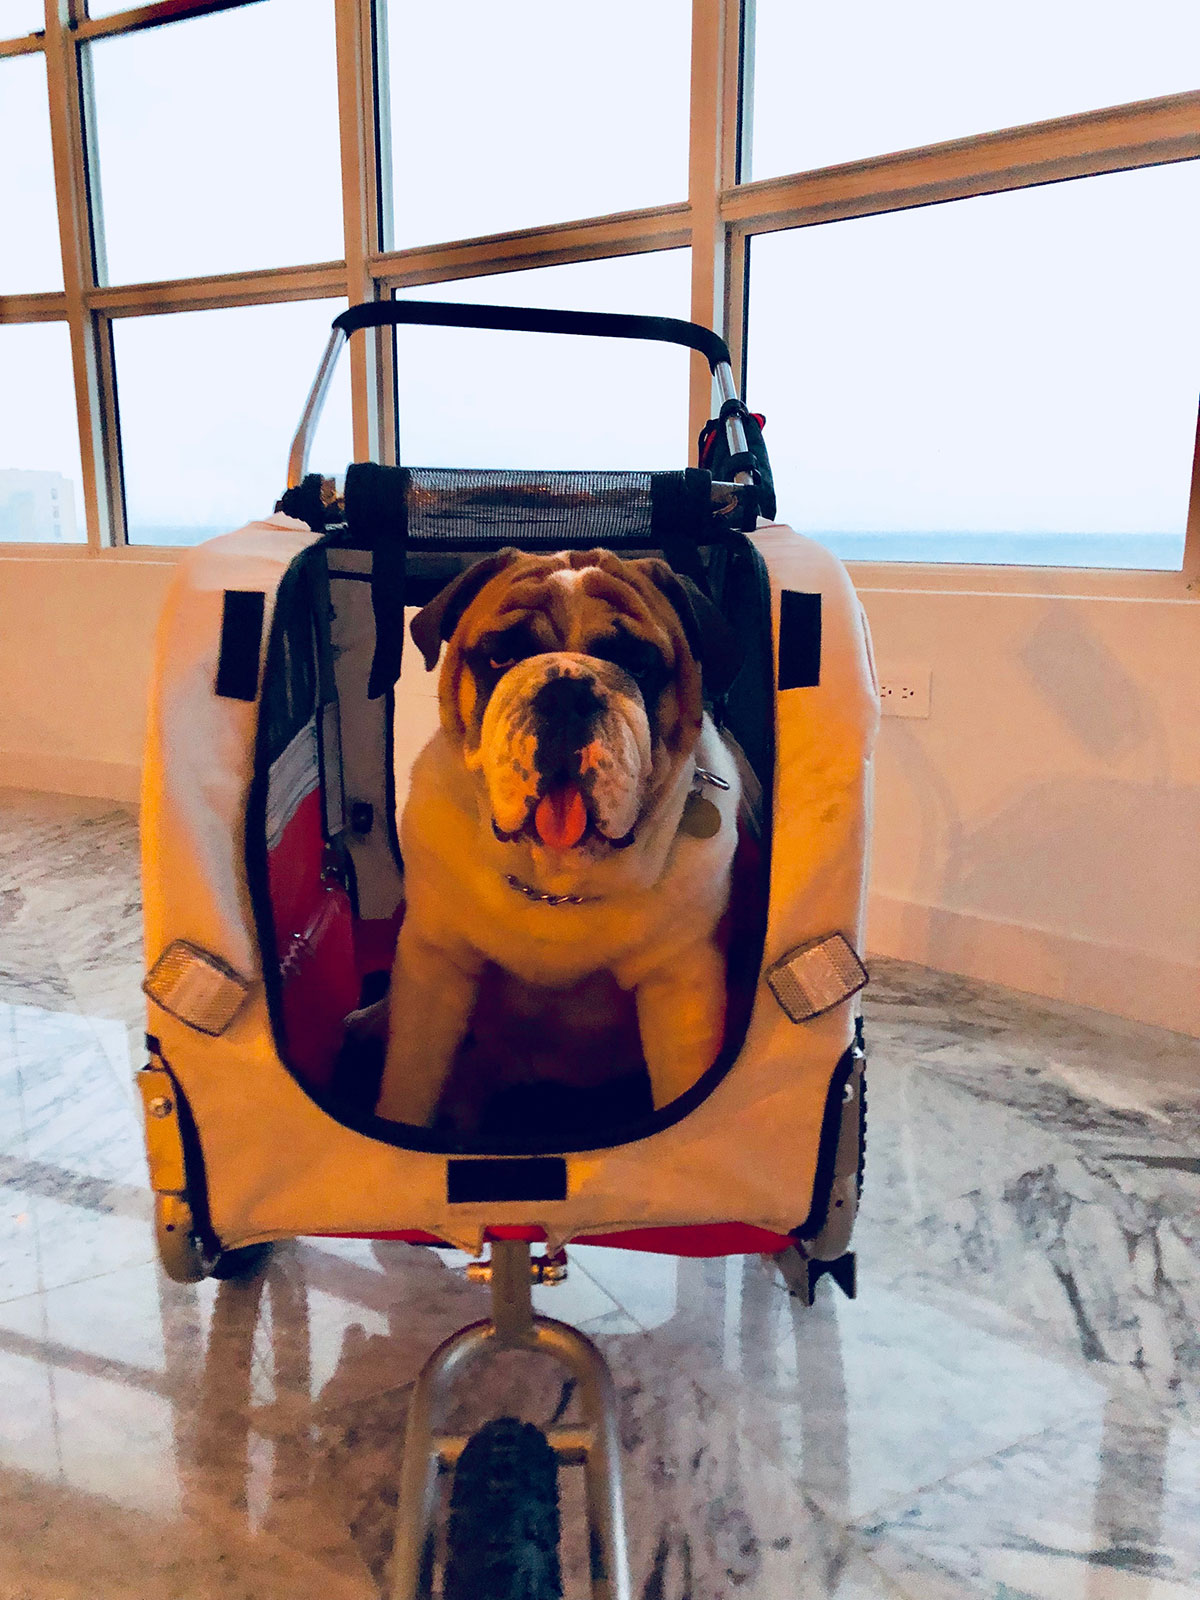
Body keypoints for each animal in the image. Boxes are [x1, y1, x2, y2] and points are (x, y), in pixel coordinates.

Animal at [373, 546, 744, 1128]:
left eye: (637, 663)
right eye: (501, 657)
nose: (567, 690)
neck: (555, 882)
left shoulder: (680, 984)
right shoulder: (434, 966)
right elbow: (409, 1080)